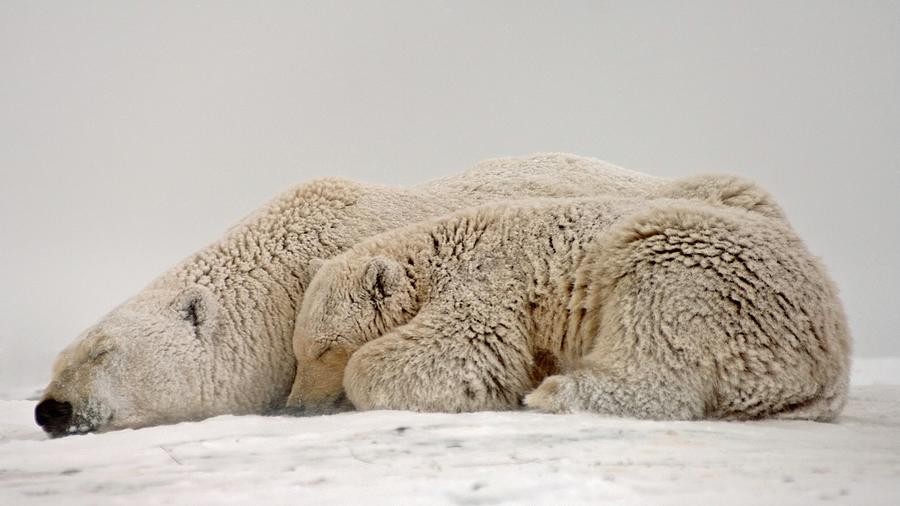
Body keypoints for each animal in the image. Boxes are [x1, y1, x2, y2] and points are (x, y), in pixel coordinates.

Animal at [290, 181, 852, 420]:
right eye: (297, 352)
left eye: (323, 349)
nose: (294, 406)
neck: (439, 248)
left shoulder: (489, 279)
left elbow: (467, 346)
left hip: (694, 266)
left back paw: (556, 393)